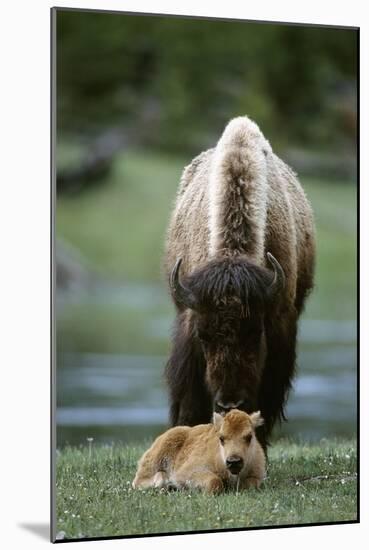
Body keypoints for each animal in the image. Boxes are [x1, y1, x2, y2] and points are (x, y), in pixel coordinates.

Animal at [132, 410, 264, 496]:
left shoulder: (256, 476)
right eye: (221, 438)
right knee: (139, 481)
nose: (234, 461)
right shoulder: (187, 472)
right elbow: (214, 481)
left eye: (249, 436)